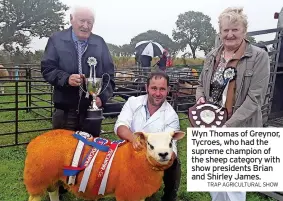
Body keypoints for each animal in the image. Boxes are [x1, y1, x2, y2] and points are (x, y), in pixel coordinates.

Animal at [24, 129, 186, 201]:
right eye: (150, 145)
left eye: (170, 143)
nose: (164, 154)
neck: (138, 159)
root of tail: (34, 142)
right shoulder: (128, 194)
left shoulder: (138, 194)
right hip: (37, 178)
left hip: (51, 178)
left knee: (53, 192)